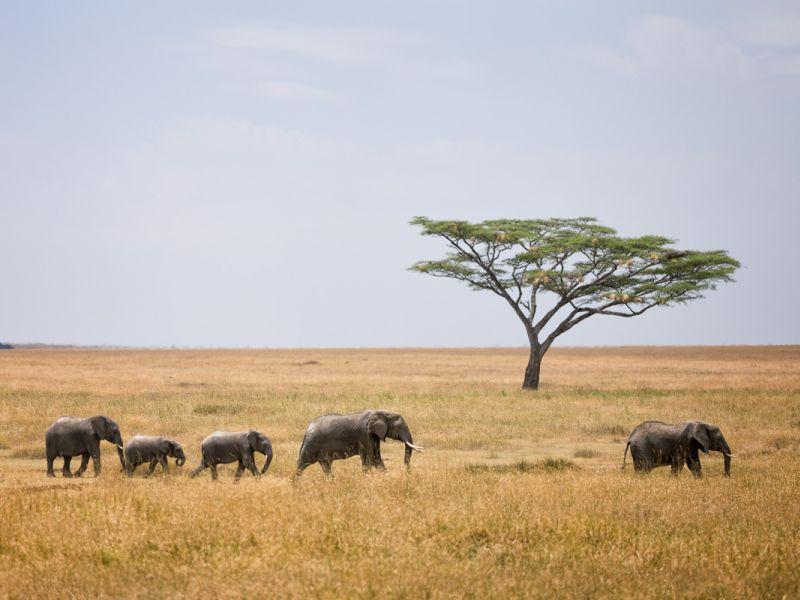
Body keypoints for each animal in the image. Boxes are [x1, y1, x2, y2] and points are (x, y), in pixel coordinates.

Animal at [296, 408, 424, 478]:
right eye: (398, 428)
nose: (408, 473)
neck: (381, 412)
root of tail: (307, 428)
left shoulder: (374, 435)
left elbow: (376, 458)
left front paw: (385, 477)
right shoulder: (365, 434)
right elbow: (369, 459)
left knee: (326, 466)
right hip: (311, 445)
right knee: (301, 464)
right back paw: (296, 484)